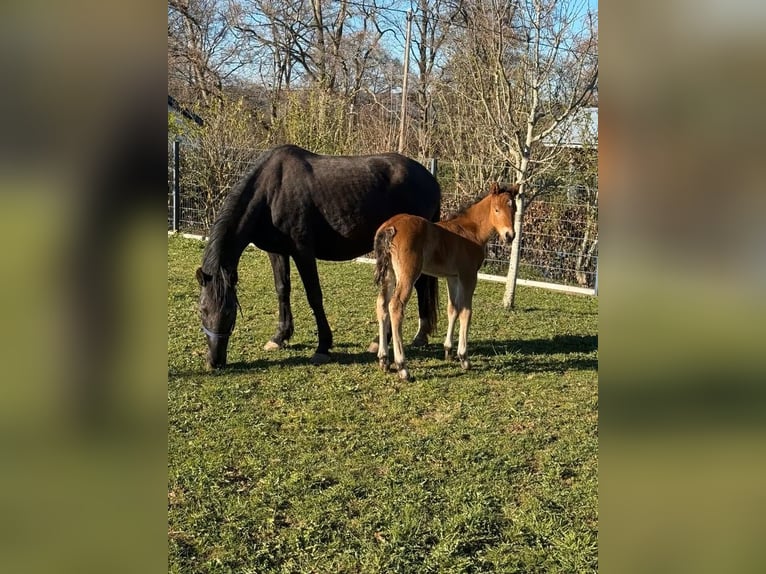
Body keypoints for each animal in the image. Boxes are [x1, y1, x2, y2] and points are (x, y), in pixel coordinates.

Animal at [195, 144, 441, 369]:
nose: (215, 362)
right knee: (420, 286)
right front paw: (280, 337)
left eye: (229, 312)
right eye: (203, 310)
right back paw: (420, 335)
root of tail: (430, 179)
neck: (270, 191)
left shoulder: (303, 250)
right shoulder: (277, 251)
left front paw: (322, 346)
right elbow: (282, 289)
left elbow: (314, 295)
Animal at [373, 181, 519, 380]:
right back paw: (402, 367)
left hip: (389, 273)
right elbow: (466, 312)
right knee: (395, 306)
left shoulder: (453, 277)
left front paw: (448, 350)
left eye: (514, 209)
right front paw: (464, 358)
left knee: (381, 304)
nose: (509, 236)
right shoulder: (468, 275)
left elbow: (453, 309)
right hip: (408, 274)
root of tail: (390, 226)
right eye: (497, 209)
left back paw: (384, 360)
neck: (471, 230)